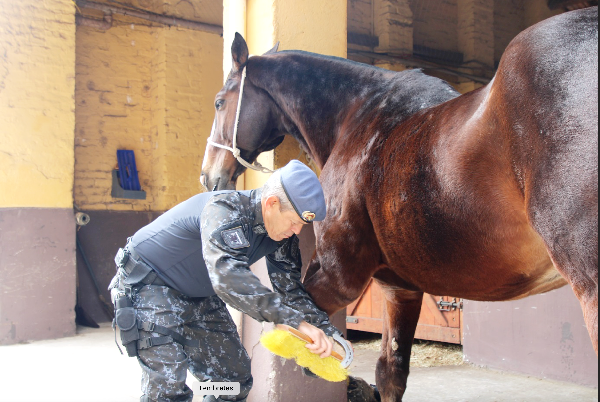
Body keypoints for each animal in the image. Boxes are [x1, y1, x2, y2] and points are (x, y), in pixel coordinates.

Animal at [200, 7, 596, 402]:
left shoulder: (339, 277)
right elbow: (390, 372)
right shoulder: (399, 289)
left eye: (220, 102)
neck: (357, 119)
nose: (208, 177)